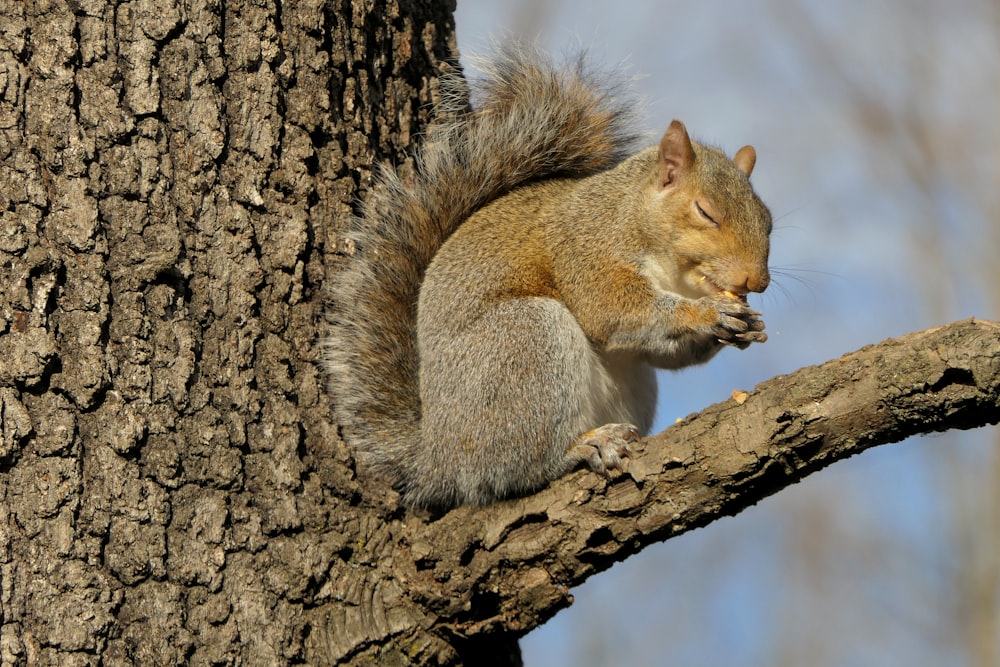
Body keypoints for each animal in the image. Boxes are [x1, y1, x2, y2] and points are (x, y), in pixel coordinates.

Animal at [324, 45, 768, 512]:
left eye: (768, 220)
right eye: (705, 212)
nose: (756, 282)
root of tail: (437, 458)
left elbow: (664, 353)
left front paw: (740, 326)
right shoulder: (586, 248)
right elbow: (613, 309)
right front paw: (708, 313)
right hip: (526, 342)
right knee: (515, 469)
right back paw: (583, 447)